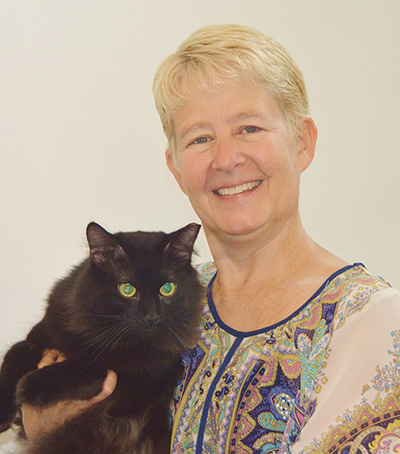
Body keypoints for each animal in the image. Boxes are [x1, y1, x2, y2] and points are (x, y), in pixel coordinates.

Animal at [0, 222, 203, 452]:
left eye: (167, 289)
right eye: (127, 289)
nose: (151, 317)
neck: (100, 334)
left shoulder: (130, 382)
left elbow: (86, 367)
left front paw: (29, 385)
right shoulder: (40, 336)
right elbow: (15, 353)